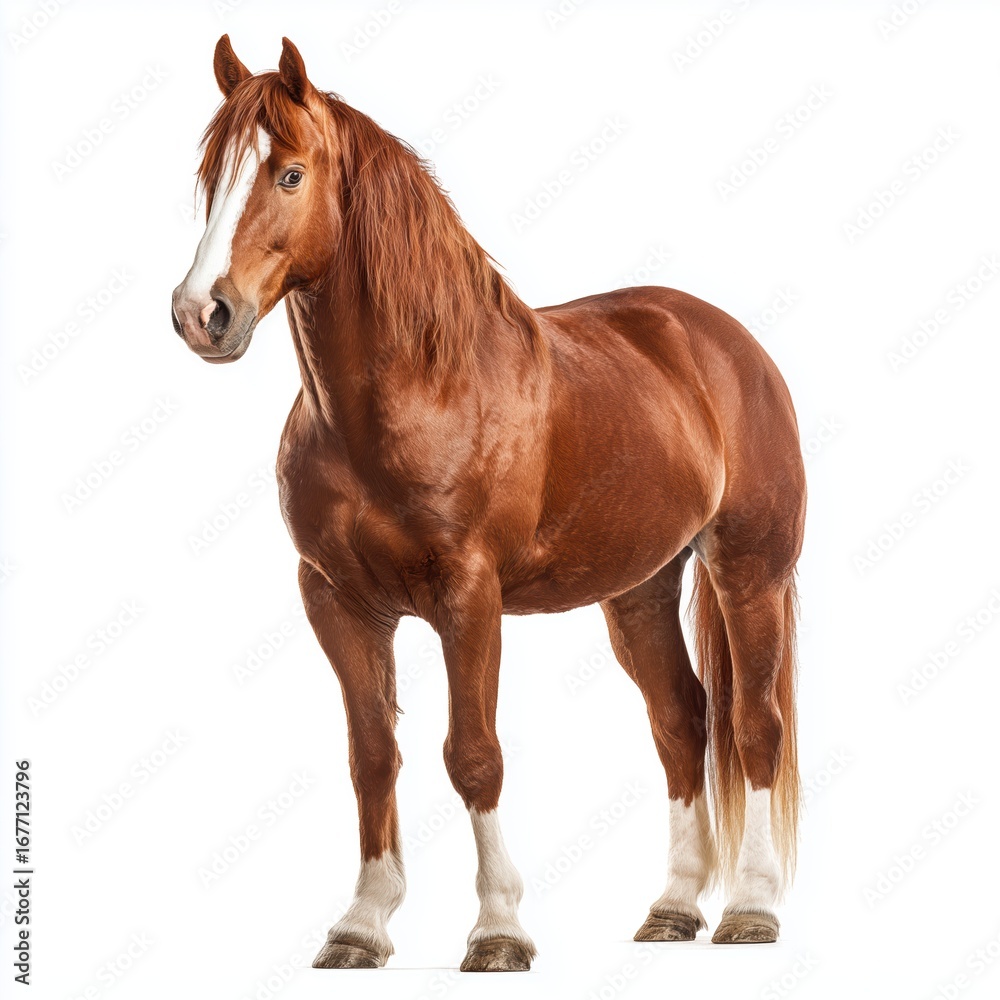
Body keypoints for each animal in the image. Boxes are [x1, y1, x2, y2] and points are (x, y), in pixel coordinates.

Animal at [171, 35, 806, 971]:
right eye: (209, 175)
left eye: (288, 174)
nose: (201, 314)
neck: (416, 393)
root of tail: (727, 343)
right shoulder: (336, 599)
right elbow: (373, 755)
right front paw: (361, 924)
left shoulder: (469, 597)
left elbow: (473, 755)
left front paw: (498, 929)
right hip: (639, 591)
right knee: (682, 721)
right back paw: (672, 908)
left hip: (748, 573)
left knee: (754, 725)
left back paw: (752, 910)